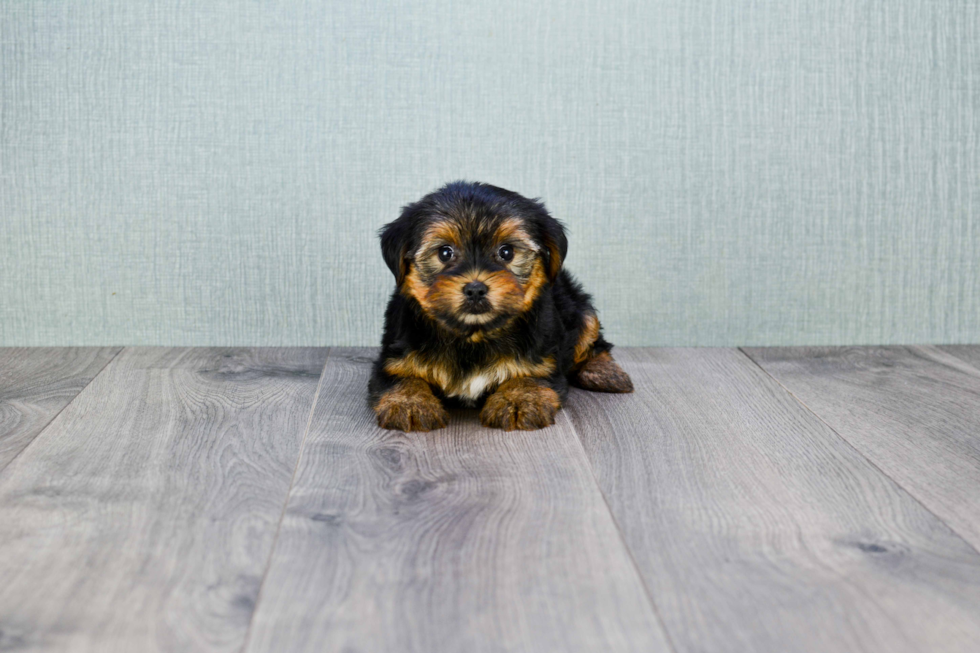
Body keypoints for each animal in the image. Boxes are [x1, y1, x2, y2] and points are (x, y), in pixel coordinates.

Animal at [370, 181, 636, 430]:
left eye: (506, 252)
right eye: (445, 253)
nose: (475, 288)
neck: (473, 335)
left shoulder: (543, 360)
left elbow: (529, 375)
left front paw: (519, 400)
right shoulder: (393, 360)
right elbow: (402, 378)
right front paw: (410, 403)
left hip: (578, 307)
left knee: (593, 338)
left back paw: (605, 373)